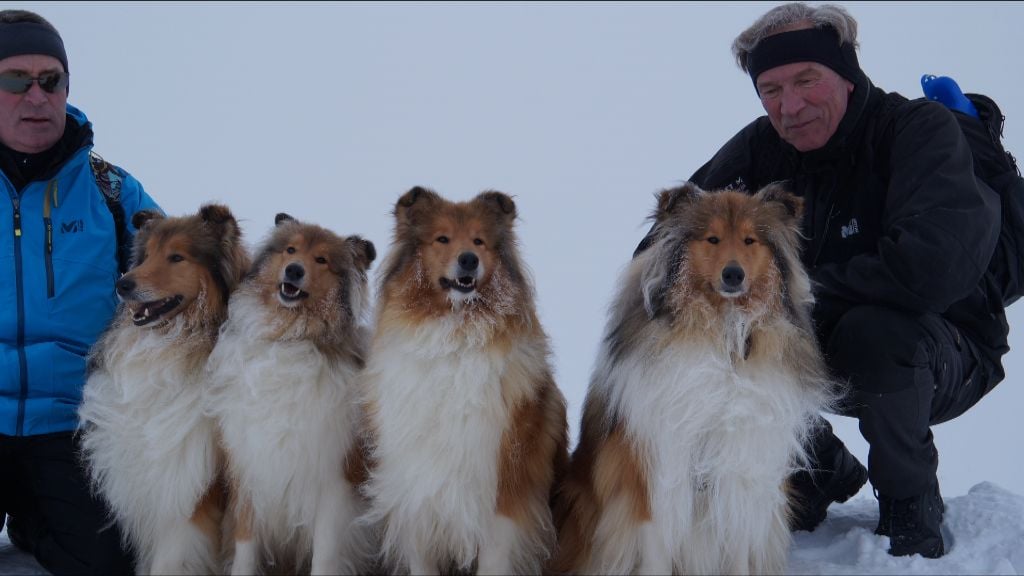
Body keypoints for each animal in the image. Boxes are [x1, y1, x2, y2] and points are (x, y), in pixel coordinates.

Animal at [207, 213, 380, 569]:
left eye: (322, 260)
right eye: (290, 250)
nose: (294, 271)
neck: (289, 338)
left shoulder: (333, 482)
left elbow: (325, 554)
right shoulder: (250, 469)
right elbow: (245, 546)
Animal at [360, 186, 569, 569]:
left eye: (479, 240)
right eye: (442, 238)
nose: (469, 260)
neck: (454, 336)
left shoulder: (504, 490)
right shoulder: (416, 489)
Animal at [552, 183, 831, 573]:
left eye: (749, 240)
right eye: (712, 238)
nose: (733, 275)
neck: (723, 333)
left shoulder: (740, 475)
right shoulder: (656, 478)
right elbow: (655, 553)